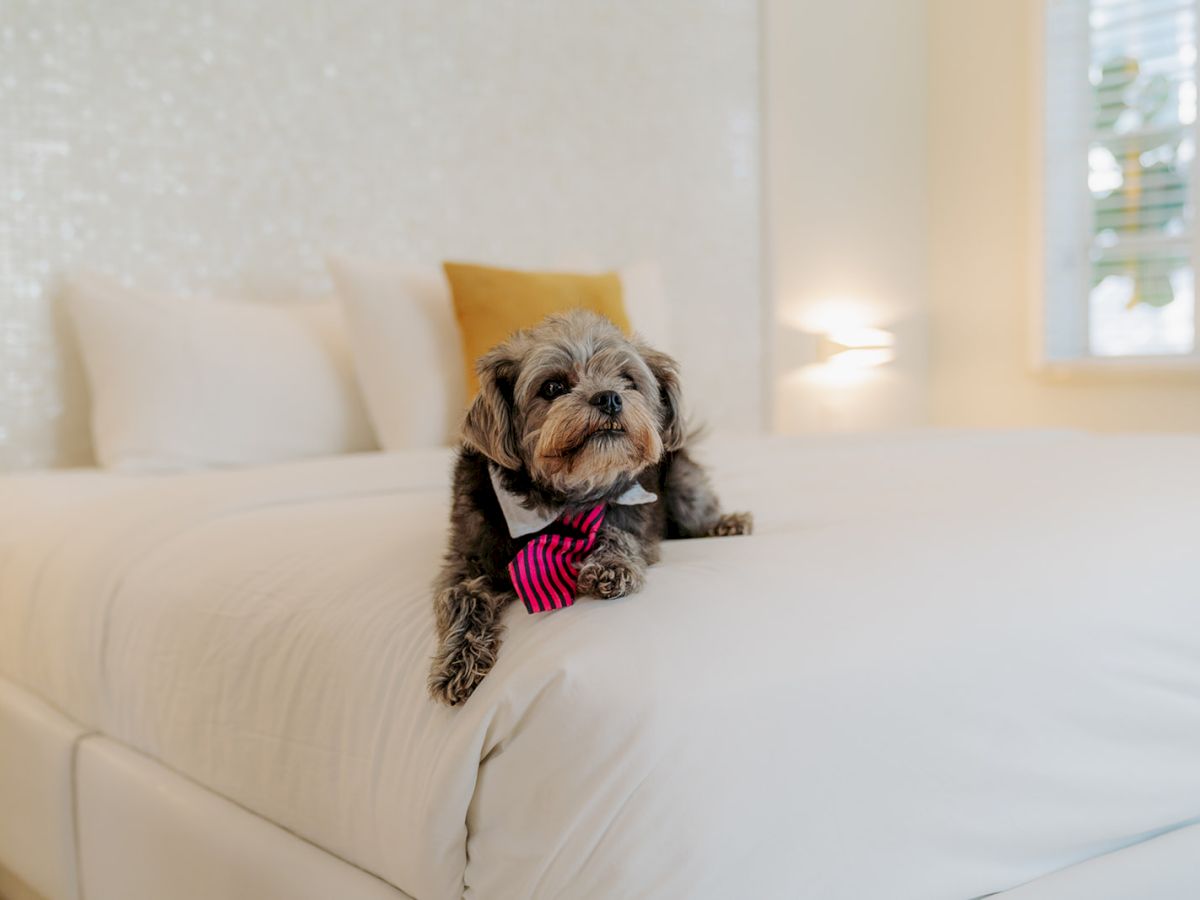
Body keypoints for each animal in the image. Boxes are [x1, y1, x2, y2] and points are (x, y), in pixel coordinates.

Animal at [432, 309, 748, 705]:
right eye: (552, 387)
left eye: (628, 379)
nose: (609, 397)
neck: (566, 501)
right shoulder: (463, 560)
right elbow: (460, 596)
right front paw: (461, 659)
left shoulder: (637, 522)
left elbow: (617, 531)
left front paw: (612, 563)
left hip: (681, 480)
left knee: (696, 511)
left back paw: (726, 523)